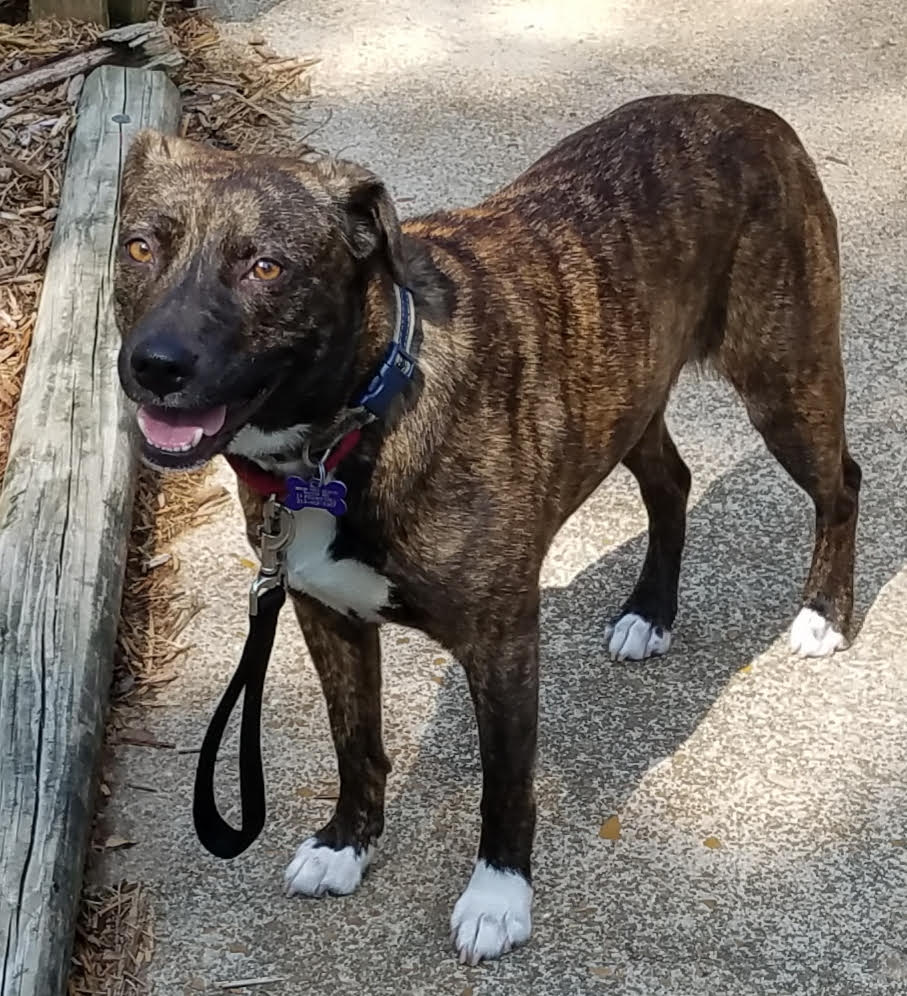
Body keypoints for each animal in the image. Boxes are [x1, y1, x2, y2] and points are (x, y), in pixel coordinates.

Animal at [117, 93, 860, 964]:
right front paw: (347, 843)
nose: (153, 365)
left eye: (264, 266)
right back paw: (649, 610)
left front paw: (498, 896)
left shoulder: (501, 643)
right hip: (630, 395)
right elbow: (354, 743)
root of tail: (748, 112)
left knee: (841, 484)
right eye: (139, 247)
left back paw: (821, 614)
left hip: (784, 382)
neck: (352, 430)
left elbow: (504, 784)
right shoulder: (325, 614)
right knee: (671, 482)